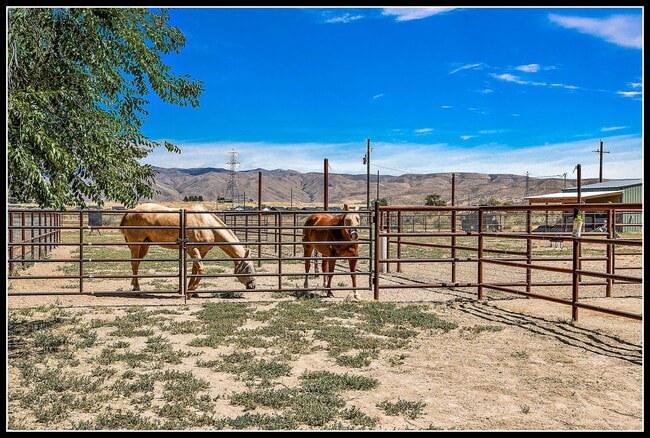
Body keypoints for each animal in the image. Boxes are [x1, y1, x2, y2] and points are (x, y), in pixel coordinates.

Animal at [119, 203, 255, 297]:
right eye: (248, 267)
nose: (253, 285)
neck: (207, 224)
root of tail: (129, 212)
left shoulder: (202, 251)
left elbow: (195, 269)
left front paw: (192, 290)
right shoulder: (192, 249)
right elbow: (201, 270)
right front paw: (190, 292)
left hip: (144, 245)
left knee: (137, 264)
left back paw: (134, 286)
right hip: (135, 244)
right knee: (134, 263)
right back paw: (137, 290)